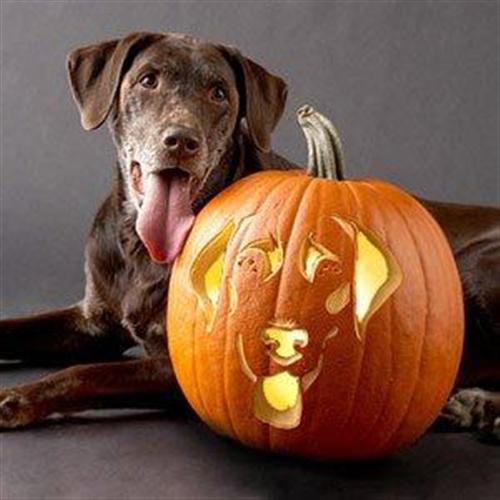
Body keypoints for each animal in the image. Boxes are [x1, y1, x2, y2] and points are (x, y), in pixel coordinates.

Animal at [0, 31, 500, 440]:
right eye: (148, 80)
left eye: (218, 92)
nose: (181, 140)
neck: (142, 249)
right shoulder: (93, 321)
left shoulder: (183, 364)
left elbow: (88, 372)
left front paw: (19, 398)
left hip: (473, 267)